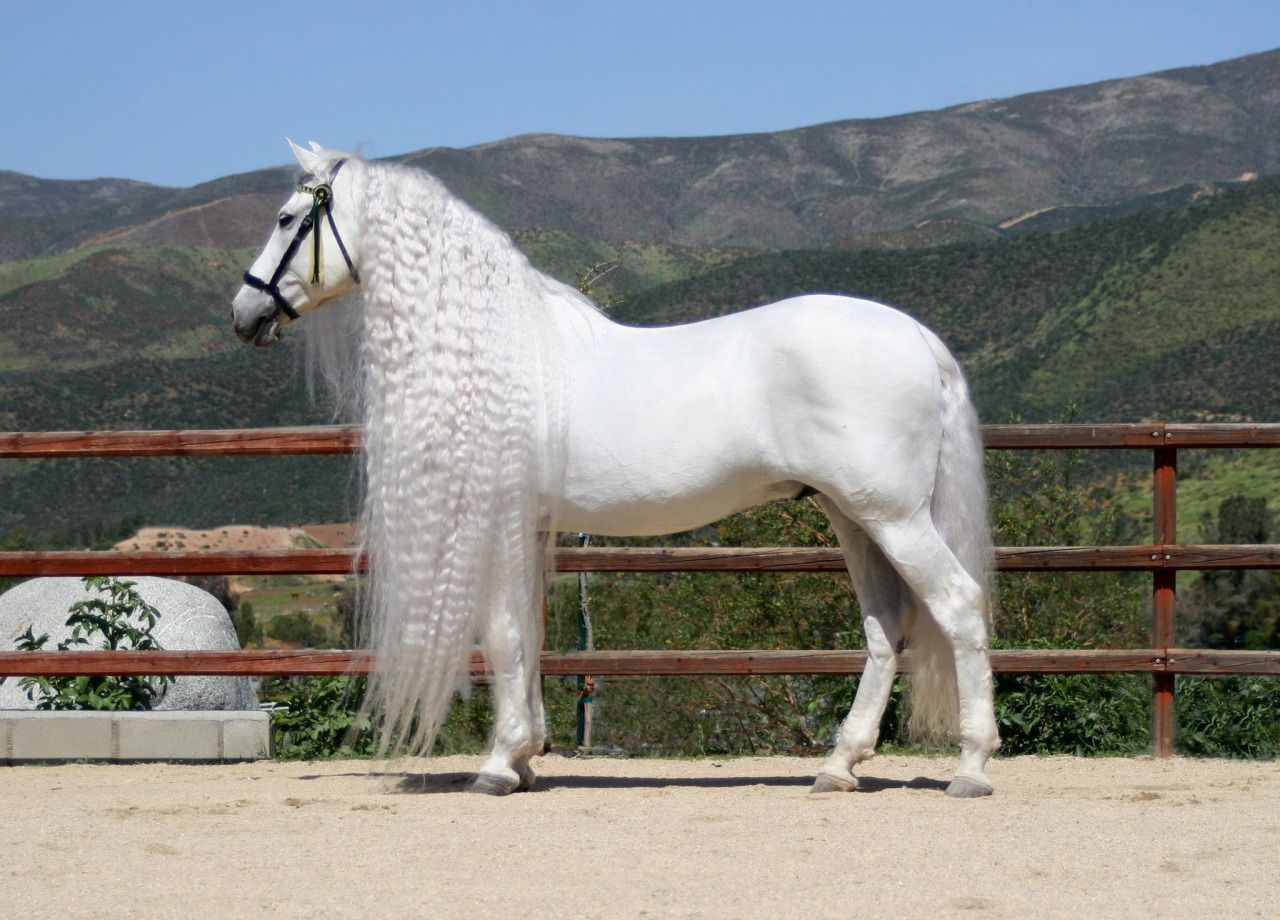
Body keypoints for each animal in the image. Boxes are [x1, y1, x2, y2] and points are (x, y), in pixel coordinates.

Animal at [231, 140, 1000, 797]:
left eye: (288, 218)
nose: (243, 313)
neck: (496, 354)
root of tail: (915, 335)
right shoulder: (528, 527)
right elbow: (528, 637)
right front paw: (525, 757)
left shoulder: (500, 519)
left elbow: (503, 635)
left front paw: (497, 764)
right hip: (852, 515)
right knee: (886, 628)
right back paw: (839, 765)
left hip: (893, 517)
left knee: (958, 604)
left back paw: (970, 766)